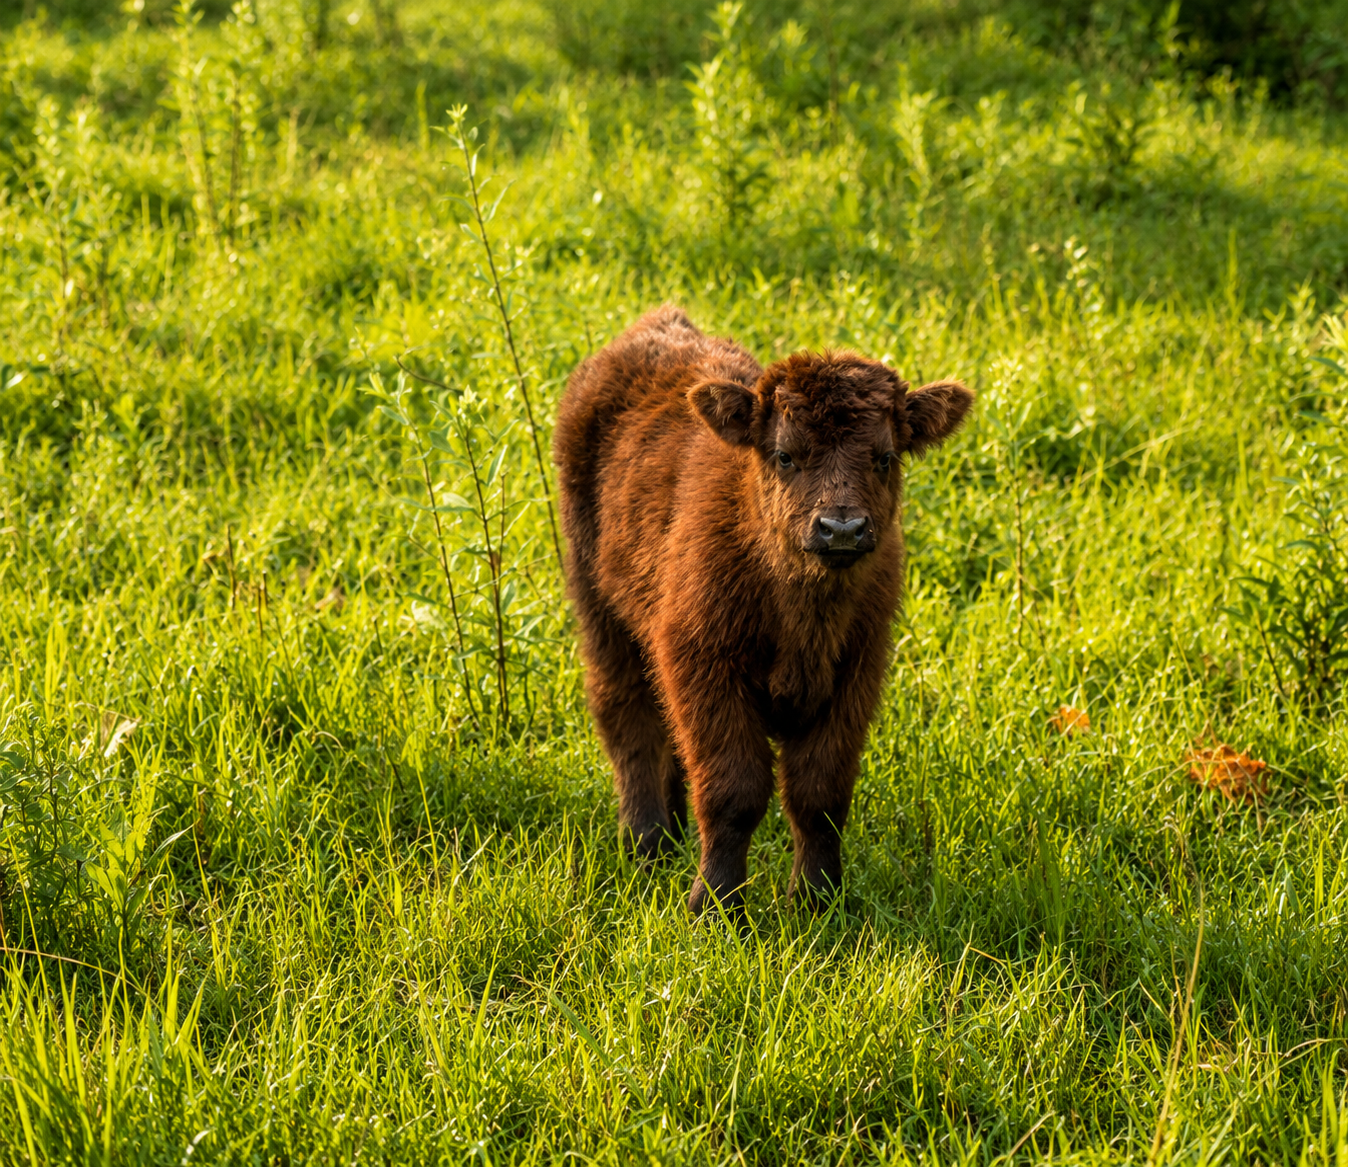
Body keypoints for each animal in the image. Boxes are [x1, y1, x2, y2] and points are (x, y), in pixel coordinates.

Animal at [553, 305, 973, 915]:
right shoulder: (705, 667)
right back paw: (646, 842)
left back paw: (671, 833)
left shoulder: (854, 678)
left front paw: (818, 902)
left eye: (885, 457)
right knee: (628, 714)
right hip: (600, 608)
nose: (841, 528)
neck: (803, 611)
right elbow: (734, 793)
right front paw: (715, 906)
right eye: (785, 455)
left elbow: (819, 795)